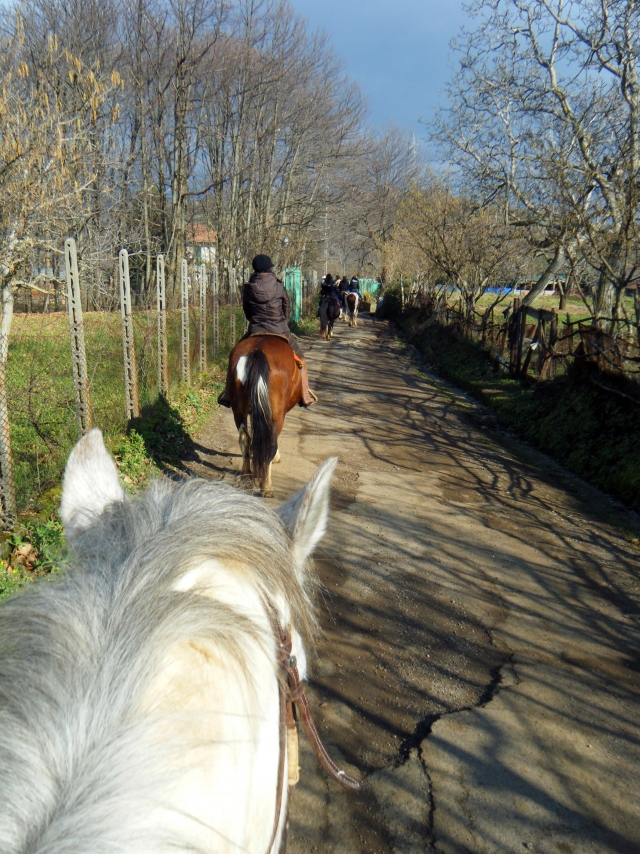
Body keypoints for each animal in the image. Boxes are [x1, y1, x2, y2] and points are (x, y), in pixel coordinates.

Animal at [227, 334, 302, 496]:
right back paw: (266, 486)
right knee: (270, 442)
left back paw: (246, 476)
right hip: (276, 413)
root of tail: (257, 351)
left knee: (245, 438)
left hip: (239, 409)